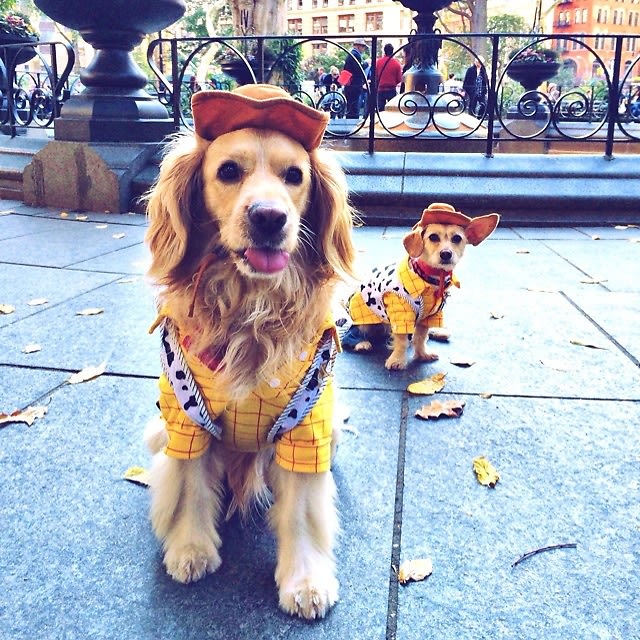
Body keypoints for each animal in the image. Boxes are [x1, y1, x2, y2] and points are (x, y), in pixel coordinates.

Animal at [344, 202, 500, 368]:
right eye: (433, 237)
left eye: (457, 238)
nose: (446, 253)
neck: (430, 278)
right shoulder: (401, 315)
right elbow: (402, 341)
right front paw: (397, 360)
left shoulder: (431, 315)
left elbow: (421, 337)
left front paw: (422, 354)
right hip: (361, 317)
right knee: (352, 332)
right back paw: (361, 343)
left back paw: (438, 332)